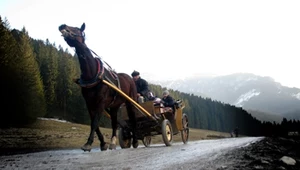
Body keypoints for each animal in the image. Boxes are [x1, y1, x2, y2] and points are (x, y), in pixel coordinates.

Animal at [58, 22, 139, 151]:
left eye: (77, 29)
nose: (62, 25)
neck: (93, 75)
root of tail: (130, 78)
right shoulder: (89, 104)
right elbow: (93, 123)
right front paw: (103, 143)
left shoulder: (101, 103)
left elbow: (95, 122)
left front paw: (88, 143)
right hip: (114, 106)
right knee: (114, 122)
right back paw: (113, 142)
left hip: (130, 101)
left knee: (133, 119)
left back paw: (135, 141)